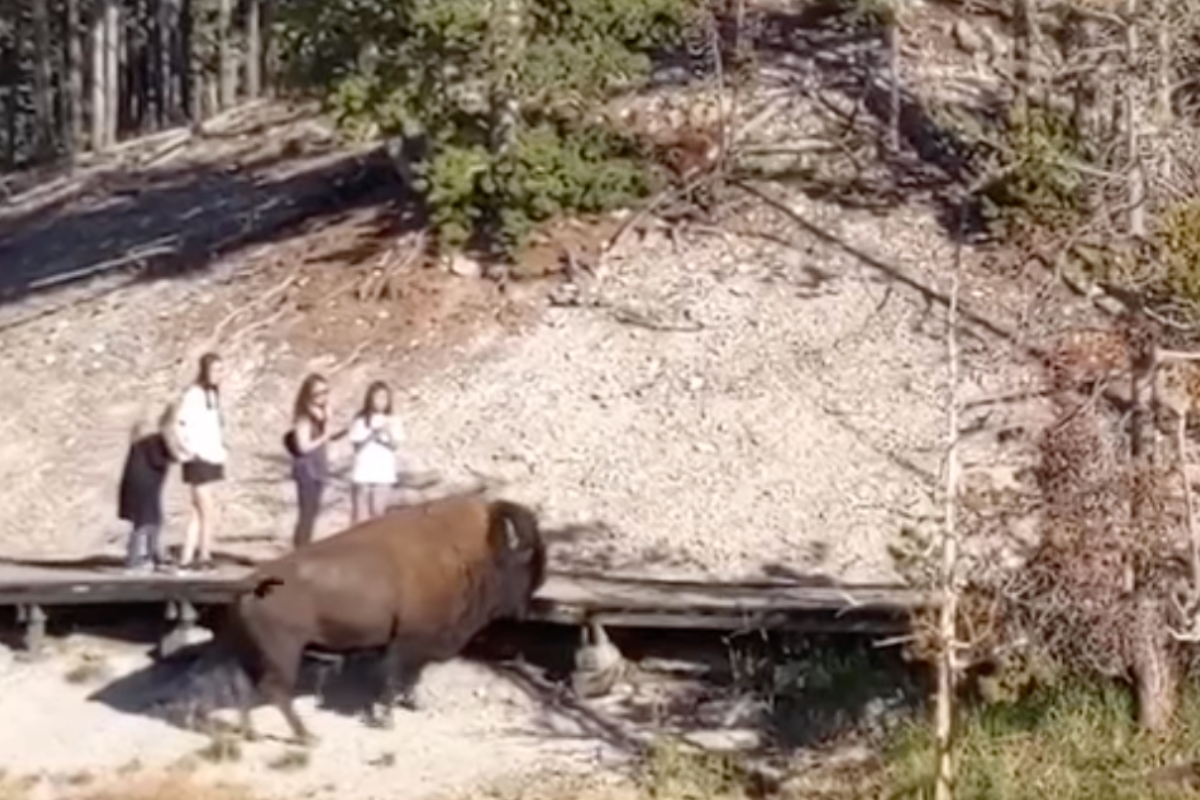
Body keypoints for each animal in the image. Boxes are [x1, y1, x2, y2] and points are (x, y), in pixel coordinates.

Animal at [210, 491, 544, 748]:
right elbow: (394, 678)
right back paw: (307, 737)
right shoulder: (408, 641)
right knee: (276, 690)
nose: (524, 609)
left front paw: (413, 704)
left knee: (243, 687)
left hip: (254, 653)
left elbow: (409, 677)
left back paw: (252, 734)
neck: (470, 556)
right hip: (285, 654)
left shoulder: (413, 646)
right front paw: (387, 719)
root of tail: (251, 582)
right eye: (526, 569)